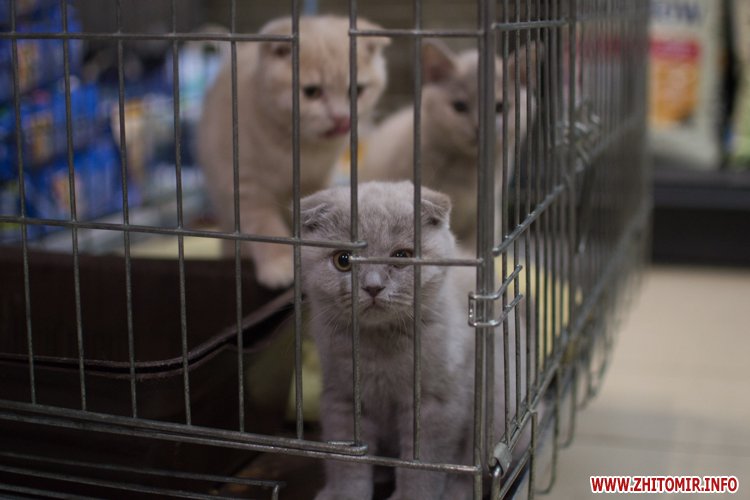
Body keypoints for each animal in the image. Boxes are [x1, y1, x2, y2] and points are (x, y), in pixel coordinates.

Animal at [198, 15, 389, 288]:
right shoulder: (243, 184)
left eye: (357, 90)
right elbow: (264, 226)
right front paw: (279, 263)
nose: (341, 118)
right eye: (311, 92)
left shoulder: (318, 180)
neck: (299, 146)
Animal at [300, 181, 529, 500]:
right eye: (343, 260)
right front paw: (345, 494)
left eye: (402, 256)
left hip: (494, 410)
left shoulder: (435, 405)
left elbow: (423, 466)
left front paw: (411, 495)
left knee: (478, 472)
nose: (372, 286)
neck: (379, 347)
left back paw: (454, 492)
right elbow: (347, 464)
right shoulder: (341, 398)